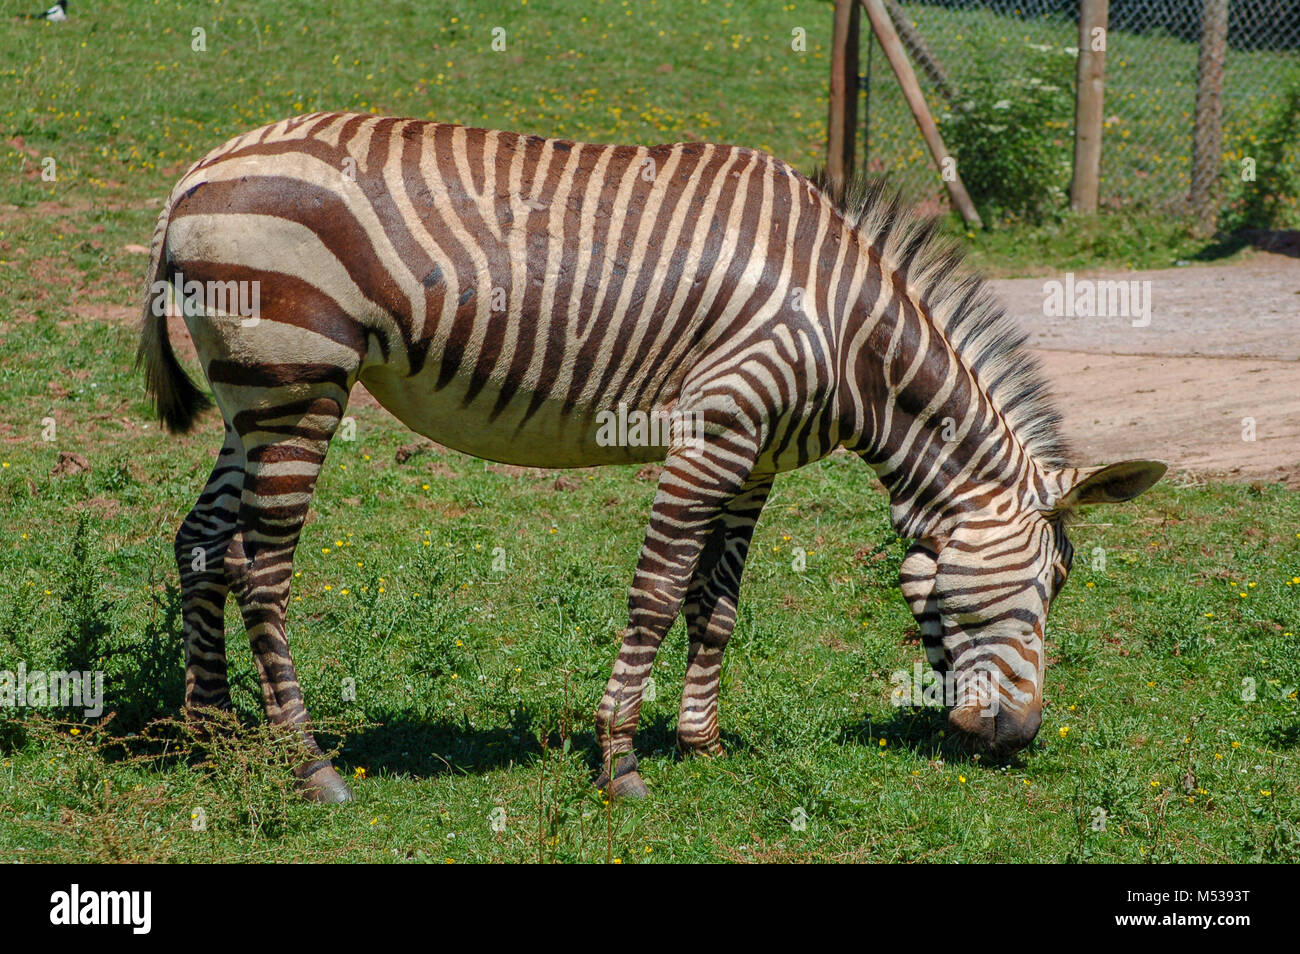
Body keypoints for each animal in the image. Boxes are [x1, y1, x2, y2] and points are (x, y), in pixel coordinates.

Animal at [137, 110, 1164, 805]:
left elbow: (718, 605)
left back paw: (208, 735)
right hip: (299, 382)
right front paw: (621, 762)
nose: (1018, 739)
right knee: (261, 567)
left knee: (202, 543)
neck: (848, 336)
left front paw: (700, 741)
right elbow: (659, 592)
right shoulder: (713, 432)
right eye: (1054, 582)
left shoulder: (755, 461)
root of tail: (195, 175)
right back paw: (307, 764)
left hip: (253, 394)